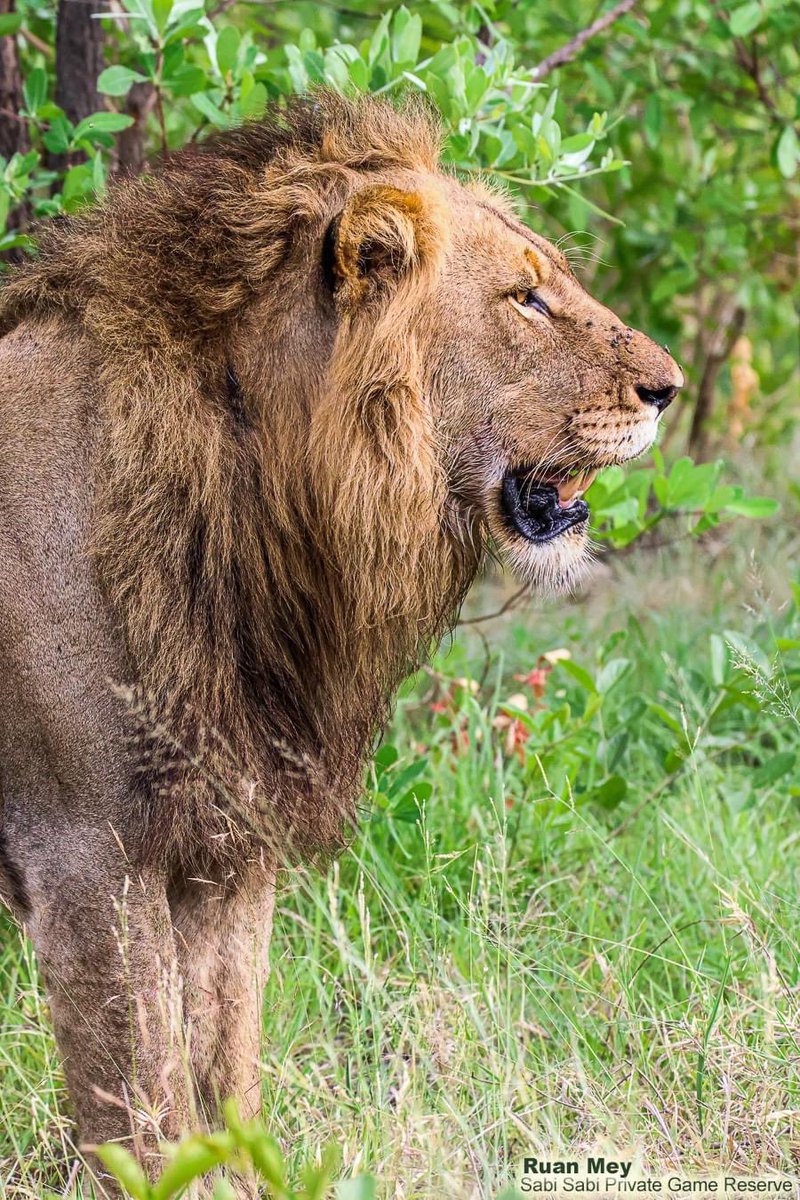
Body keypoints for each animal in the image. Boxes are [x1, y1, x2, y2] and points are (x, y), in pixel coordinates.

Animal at [0, 91, 681, 1190]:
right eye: (525, 301)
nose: (669, 388)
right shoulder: (84, 856)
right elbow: (141, 1118)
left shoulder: (225, 843)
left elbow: (222, 1072)